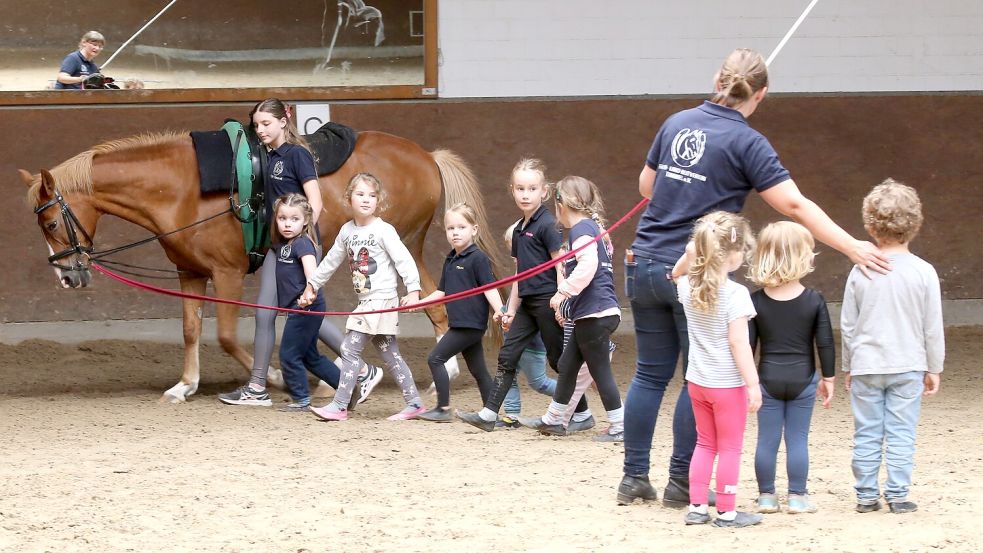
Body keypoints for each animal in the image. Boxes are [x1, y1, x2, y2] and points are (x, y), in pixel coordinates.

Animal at [21, 132, 500, 404]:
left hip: (402, 245)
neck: (182, 189)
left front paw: (272, 377)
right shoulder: (189, 273)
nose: (67, 276)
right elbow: (191, 331)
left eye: (50, 222)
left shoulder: (227, 273)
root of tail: (427, 156)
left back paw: (437, 373)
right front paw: (185, 385)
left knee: (426, 299)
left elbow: (227, 335)